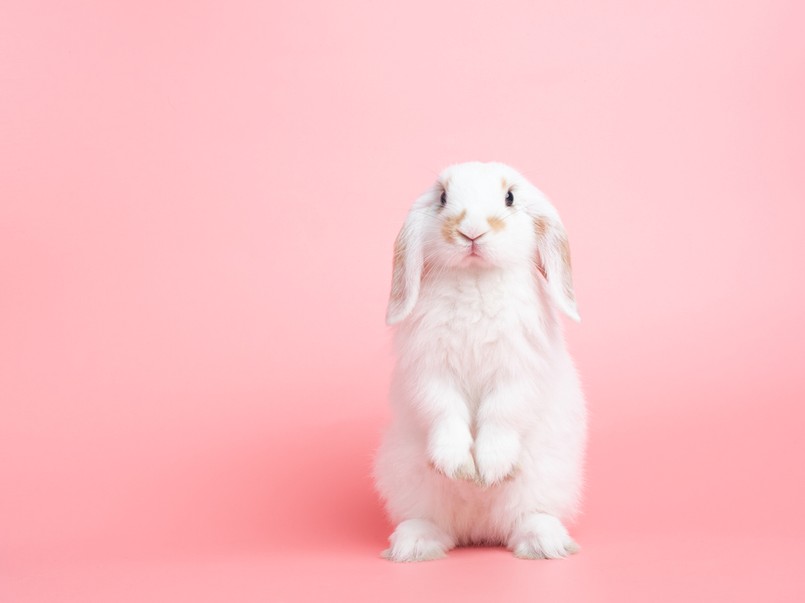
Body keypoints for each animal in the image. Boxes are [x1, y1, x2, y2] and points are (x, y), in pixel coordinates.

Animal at [374, 163, 588, 564]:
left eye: (510, 198)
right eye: (443, 198)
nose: (471, 231)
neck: (476, 277)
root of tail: (478, 529)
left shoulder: (517, 373)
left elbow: (502, 413)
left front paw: (489, 471)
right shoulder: (430, 373)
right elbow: (444, 411)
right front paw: (458, 467)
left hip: (547, 476)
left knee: (526, 517)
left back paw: (545, 543)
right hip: (405, 476)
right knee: (435, 522)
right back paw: (414, 545)